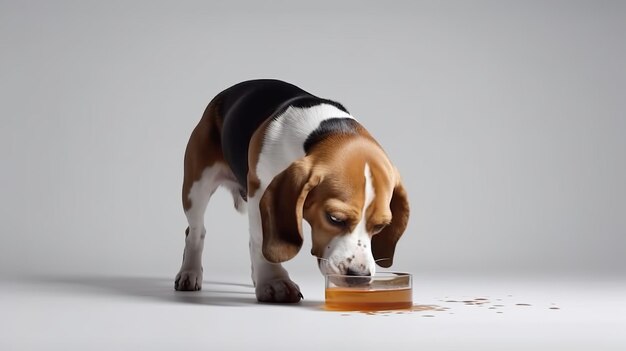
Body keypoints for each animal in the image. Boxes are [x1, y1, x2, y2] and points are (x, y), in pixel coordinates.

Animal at [176, 79, 410, 302]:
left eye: (380, 226)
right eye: (334, 218)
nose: (359, 277)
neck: (325, 133)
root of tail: (225, 93)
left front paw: (265, 279)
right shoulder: (260, 193)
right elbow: (261, 239)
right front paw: (273, 281)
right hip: (196, 188)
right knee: (195, 231)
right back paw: (190, 272)